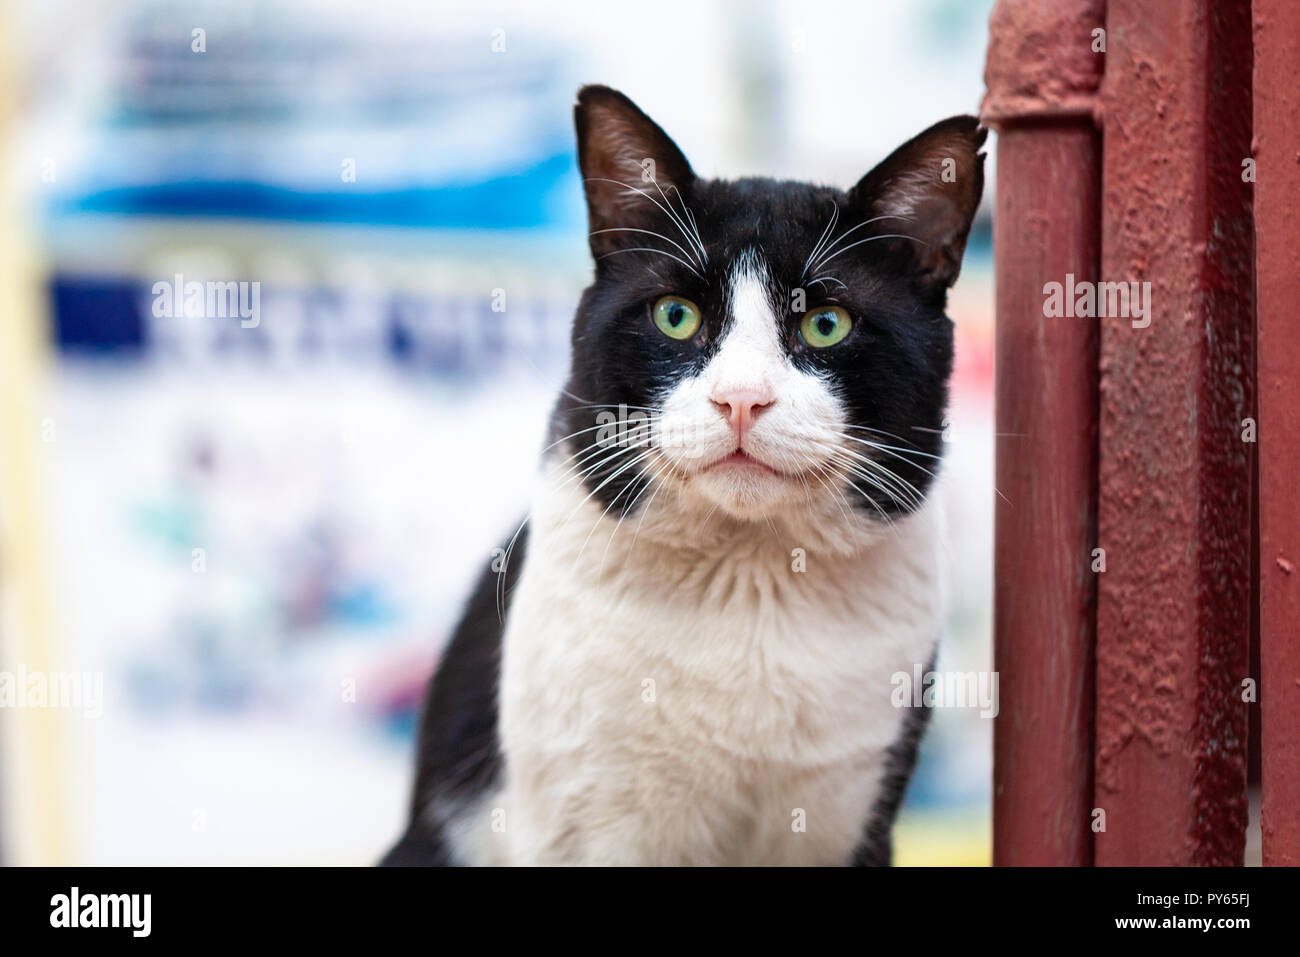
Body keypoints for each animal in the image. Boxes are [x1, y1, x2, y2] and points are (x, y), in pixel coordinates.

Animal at [379, 85, 977, 868]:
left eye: (826, 324)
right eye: (675, 315)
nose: (742, 399)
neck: (751, 575)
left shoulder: (850, 810)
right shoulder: (595, 821)